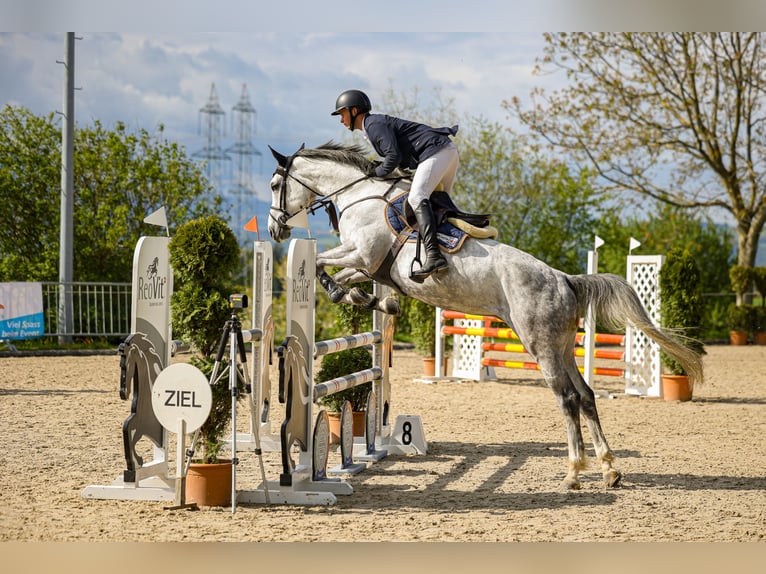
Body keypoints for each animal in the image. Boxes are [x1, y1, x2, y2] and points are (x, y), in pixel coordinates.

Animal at [266, 141, 704, 490]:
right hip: (562, 347)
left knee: (566, 399)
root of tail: (564, 279)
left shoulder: (363, 255)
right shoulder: (369, 267)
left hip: (541, 347)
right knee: (586, 395)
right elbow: (338, 278)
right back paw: (609, 470)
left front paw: (355, 295)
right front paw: (373, 301)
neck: (360, 195)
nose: (273, 230)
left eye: (274, 186)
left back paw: (574, 473)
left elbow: (319, 264)